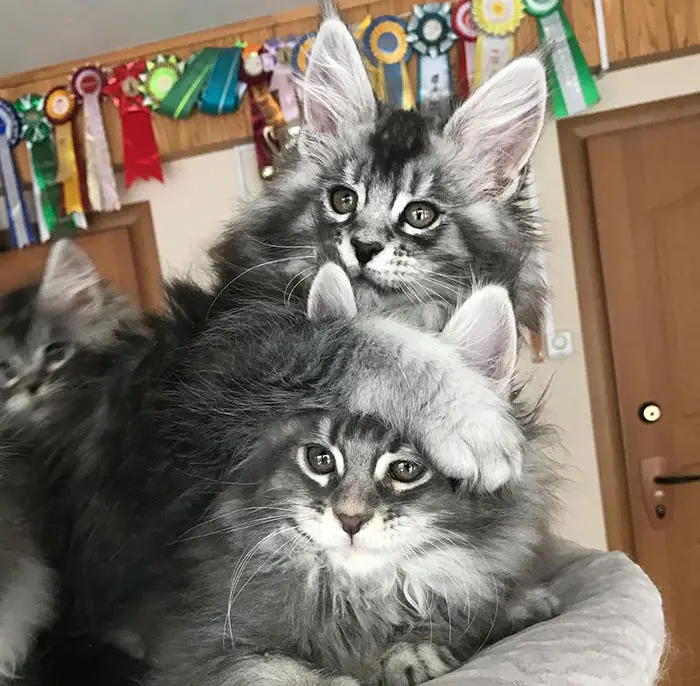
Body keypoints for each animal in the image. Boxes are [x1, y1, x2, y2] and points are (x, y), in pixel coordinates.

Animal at [145, 264, 560, 686]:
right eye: (321, 459)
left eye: (405, 469)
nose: (350, 519)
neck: (356, 596)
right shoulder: (197, 645)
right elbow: (270, 667)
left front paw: (418, 652)